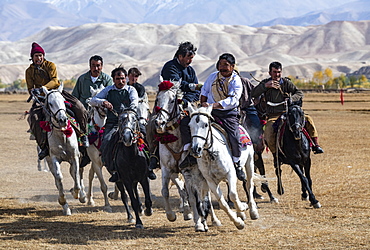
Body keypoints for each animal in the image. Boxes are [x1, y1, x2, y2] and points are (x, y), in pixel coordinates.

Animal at [40, 84, 84, 215]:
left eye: (63, 101)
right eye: (50, 103)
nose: (63, 120)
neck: (62, 135)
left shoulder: (75, 157)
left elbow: (76, 175)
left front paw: (76, 193)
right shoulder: (54, 158)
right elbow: (59, 177)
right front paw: (63, 200)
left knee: (76, 173)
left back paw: (82, 196)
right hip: (49, 161)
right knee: (56, 178)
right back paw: (66, 208)